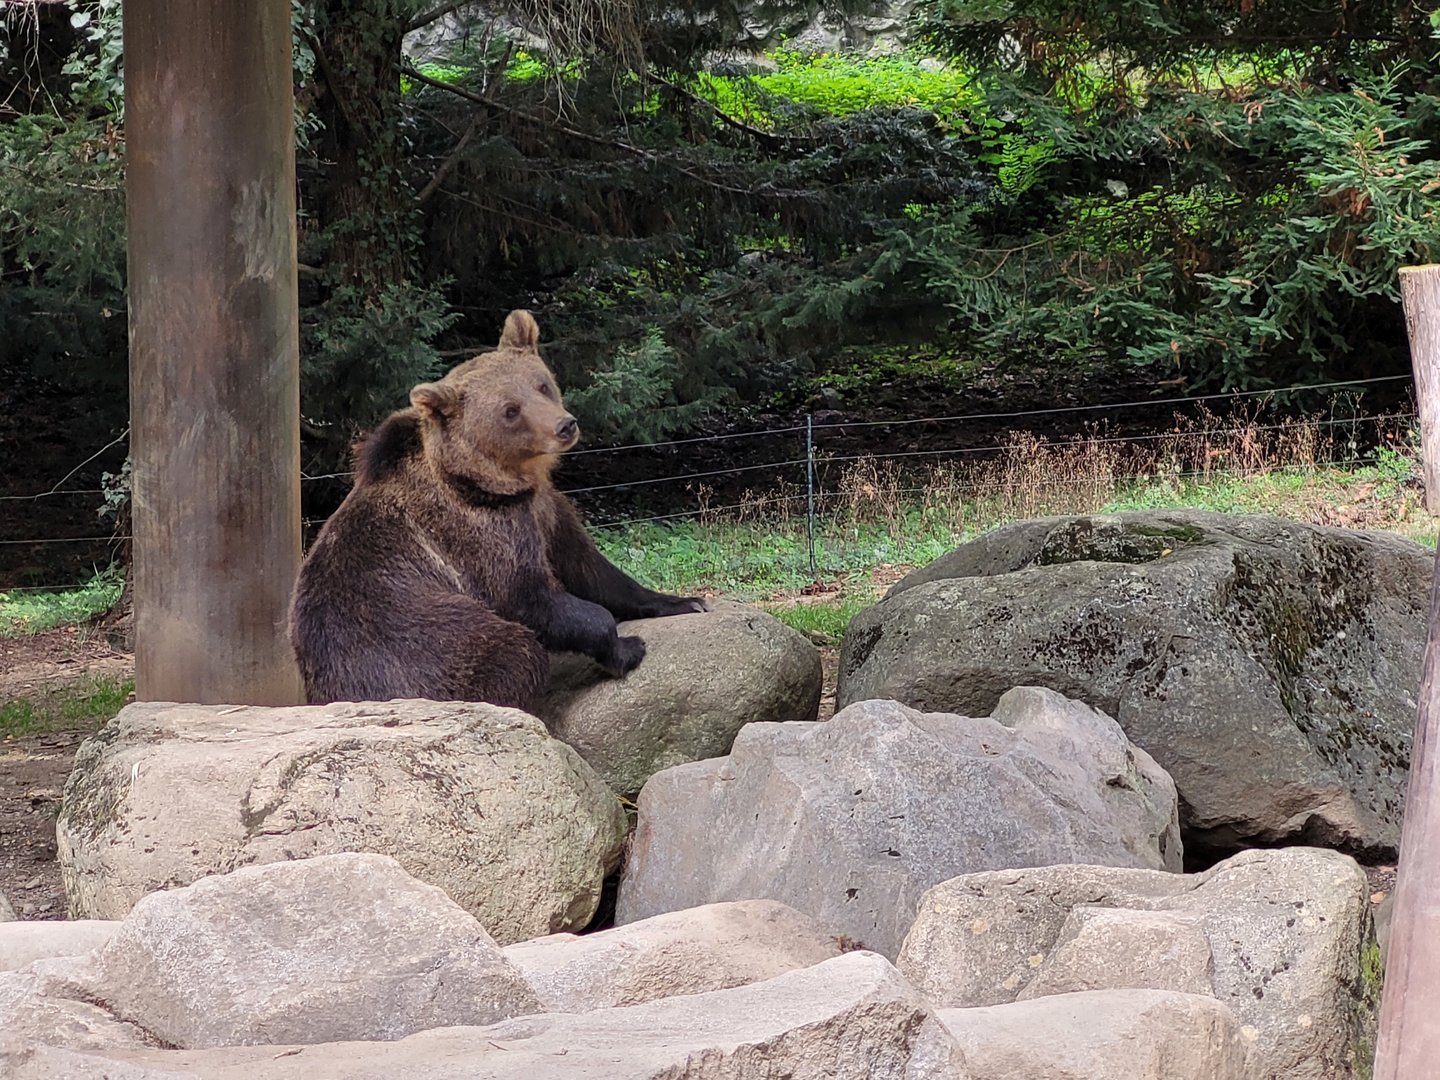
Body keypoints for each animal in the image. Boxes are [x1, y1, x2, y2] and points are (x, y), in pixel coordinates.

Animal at [287, 309, 706, 711]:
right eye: (510, 410)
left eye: (541, 385)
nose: (564, 425)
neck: (497, 484)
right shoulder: (483, 534)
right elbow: (529, 597)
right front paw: (628, 647)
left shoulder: (545, 510)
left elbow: (592, 569)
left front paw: (685, 602)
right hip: (420, 644)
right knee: (512, 652)